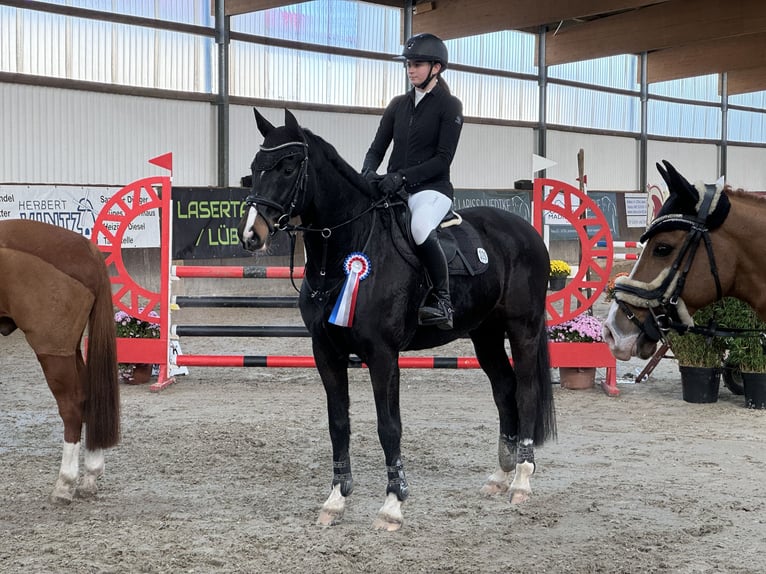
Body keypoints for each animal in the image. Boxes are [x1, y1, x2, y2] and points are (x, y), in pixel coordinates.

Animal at [0, 220, 121, 504]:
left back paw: (64, 484)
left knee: (71, 406)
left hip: (54, 352)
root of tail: (87, 249)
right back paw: (89, 477)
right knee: (88, 399)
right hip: (70, 350)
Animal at [237, 108, 556, 532]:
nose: (250, 236)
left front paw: (392, 504)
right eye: (255, 168)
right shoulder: (325, 352)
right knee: (504, 389)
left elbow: (389, 427)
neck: (347, 250)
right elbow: (338, 423)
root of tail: (525, 230)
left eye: (288, 167)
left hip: (523, 328)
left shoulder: (383, 355)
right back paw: (500, 476)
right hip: (485, 334)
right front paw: (335, 500)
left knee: (525, 391)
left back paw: (521, 480)